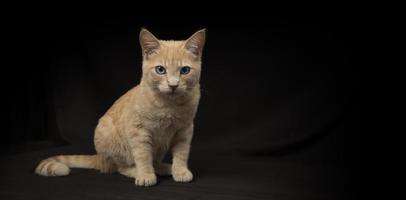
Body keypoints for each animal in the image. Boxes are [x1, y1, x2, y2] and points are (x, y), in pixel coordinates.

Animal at [35, 28, 206, 188]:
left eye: (184, 70)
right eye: (160, 70)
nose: (173, 85)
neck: (169, 105)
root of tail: (100, 158)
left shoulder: (185, 130)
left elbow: (181, 153)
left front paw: (180, 171)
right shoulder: (138, 132)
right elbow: (143, 156)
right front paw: (146, 175)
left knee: (153, 162)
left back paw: (164, 168)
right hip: (110, 138)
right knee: (119, 168)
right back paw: (138, 171)